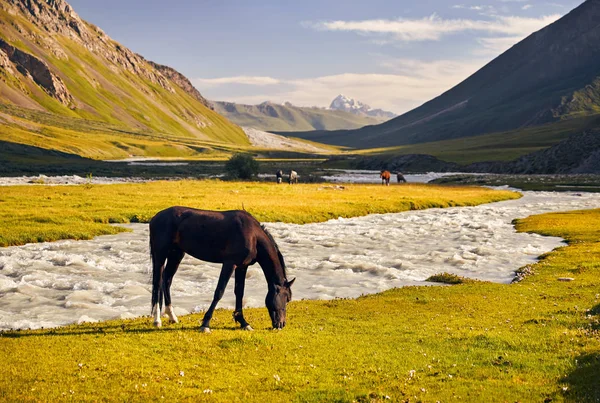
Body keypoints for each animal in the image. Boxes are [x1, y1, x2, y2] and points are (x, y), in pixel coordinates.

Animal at [148, 207, 292, 332]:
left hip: (176, 254)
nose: (281, 324)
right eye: (286, 298)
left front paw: (243, 322)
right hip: (160, 256)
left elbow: (239, 292)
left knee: (167, 280)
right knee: (157, 283)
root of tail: (155, 218)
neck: (252, 235)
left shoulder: (242, 266)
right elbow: (219, 292)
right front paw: (205, 324)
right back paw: (157, 320)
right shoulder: (229, 264)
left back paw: (172, 316)